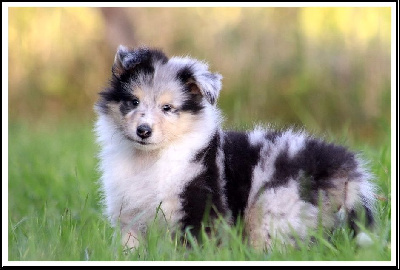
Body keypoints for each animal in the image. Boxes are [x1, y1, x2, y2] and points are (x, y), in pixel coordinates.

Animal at [95, 45, 376, 250]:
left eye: (167, 108)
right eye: (133, 101)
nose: (143, 131)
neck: (152, 159)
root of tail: (339, 163)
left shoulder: (199, 205)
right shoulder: (129, 217)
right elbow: (130, 249)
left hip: (277, 208)